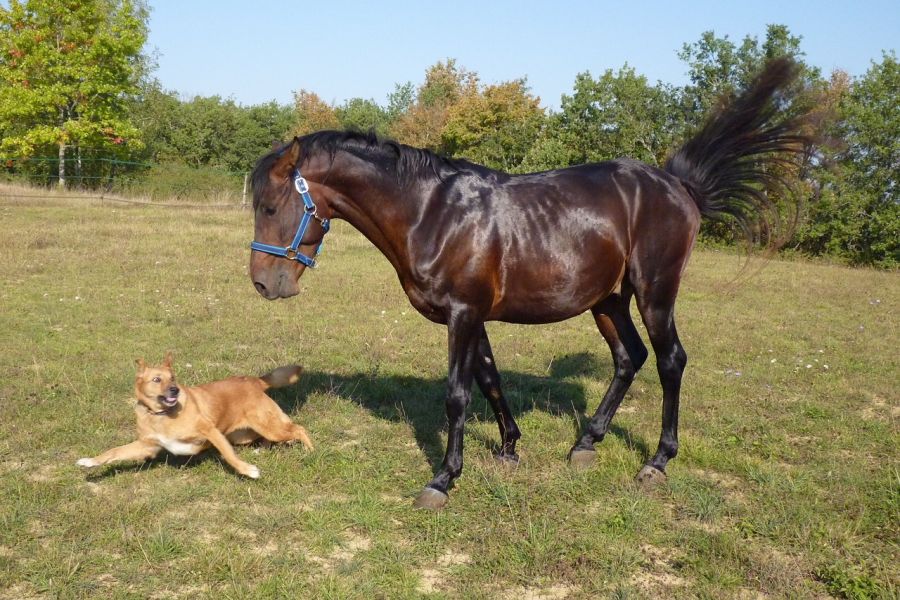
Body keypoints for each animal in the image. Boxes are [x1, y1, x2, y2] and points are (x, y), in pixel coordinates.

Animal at [78, 352, 316, 478]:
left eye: (173, 378)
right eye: (157, 379)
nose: (175, 390)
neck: (162, 415)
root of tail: (254, 381)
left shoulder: (211, 431)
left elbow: (229, 456)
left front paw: (247, 470)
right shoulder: (147, 447)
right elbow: (114, 451)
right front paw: (90, 462)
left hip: (268, 425)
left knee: (298, 429)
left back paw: (310, 451)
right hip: (244, 434)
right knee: (270, 435)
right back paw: (264, 449)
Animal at [246, 58, 808, 508]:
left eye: (270, 207)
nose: (263, 284)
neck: (432, 213)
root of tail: (678, 186)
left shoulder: (464, 315)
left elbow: (457, 395)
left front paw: (443, 479)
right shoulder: (471, 317)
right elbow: (490, 380)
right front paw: (510, 449)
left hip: (655, 293)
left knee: (670, 361)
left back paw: (657, 461)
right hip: (608, 301)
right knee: (629, 358)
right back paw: (586, 443)